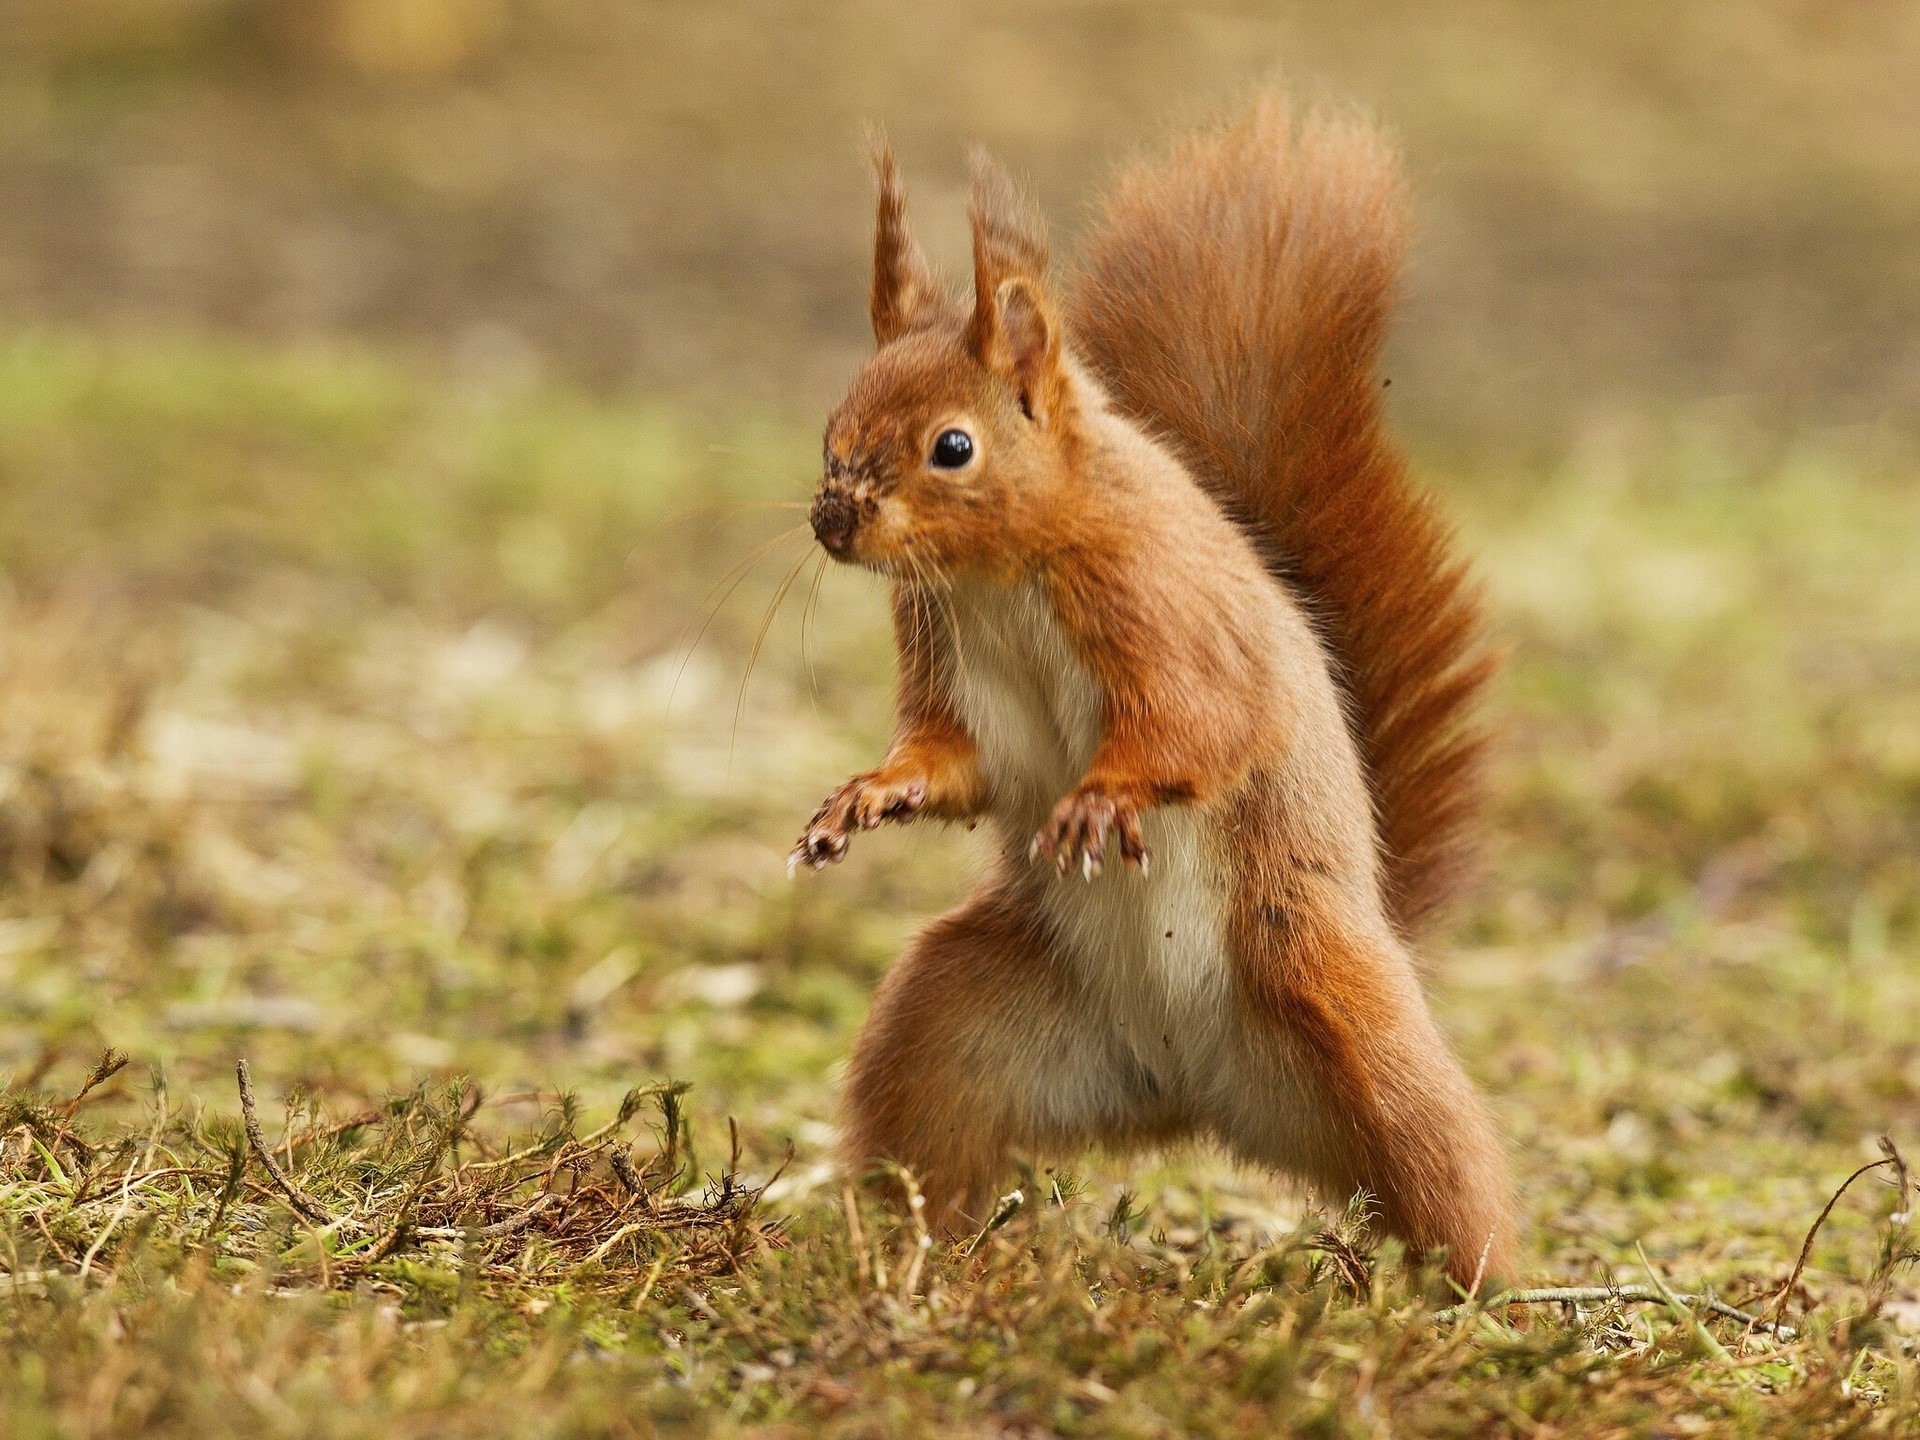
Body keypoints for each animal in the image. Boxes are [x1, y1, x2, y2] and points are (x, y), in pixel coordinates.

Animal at [790, 93, 1515, 1288]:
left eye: (953, 446)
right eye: (830, 425)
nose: (831, 523)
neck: (1003, 576)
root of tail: (1197, 1097)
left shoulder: (1168, 613)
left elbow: (1203, 723)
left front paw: (1105, 796)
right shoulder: (946, 653)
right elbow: (955, 761)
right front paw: (869, 793)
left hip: (1331, 998)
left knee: (1444, 1167)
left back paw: (1480, 1297)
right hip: (957, 1021)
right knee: (929, 1135)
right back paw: (905, 1254)